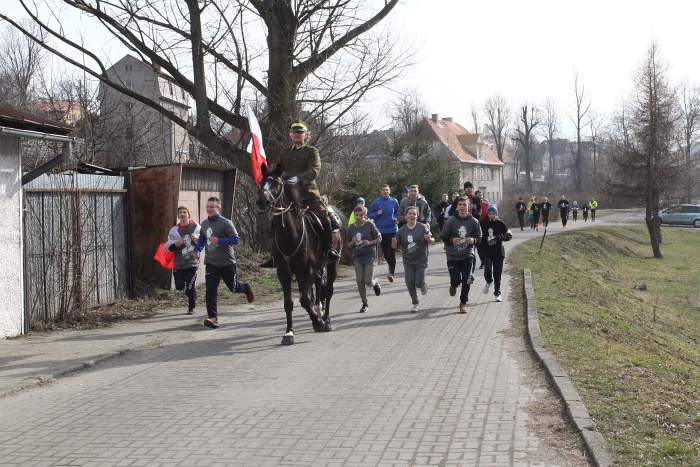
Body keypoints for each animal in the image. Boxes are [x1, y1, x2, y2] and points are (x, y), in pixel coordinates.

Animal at [258, 166, 344, 346]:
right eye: (261, 182)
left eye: (277, 184)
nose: (263, 201)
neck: (290, 234)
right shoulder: (283, 272)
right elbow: (289, 303)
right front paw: (289, 332)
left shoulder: (308, 269)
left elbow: (304, 299)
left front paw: (318, 323)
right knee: (318, 285)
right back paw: (318, 310)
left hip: (332, 263)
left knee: (329, 289)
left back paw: (326, 320)